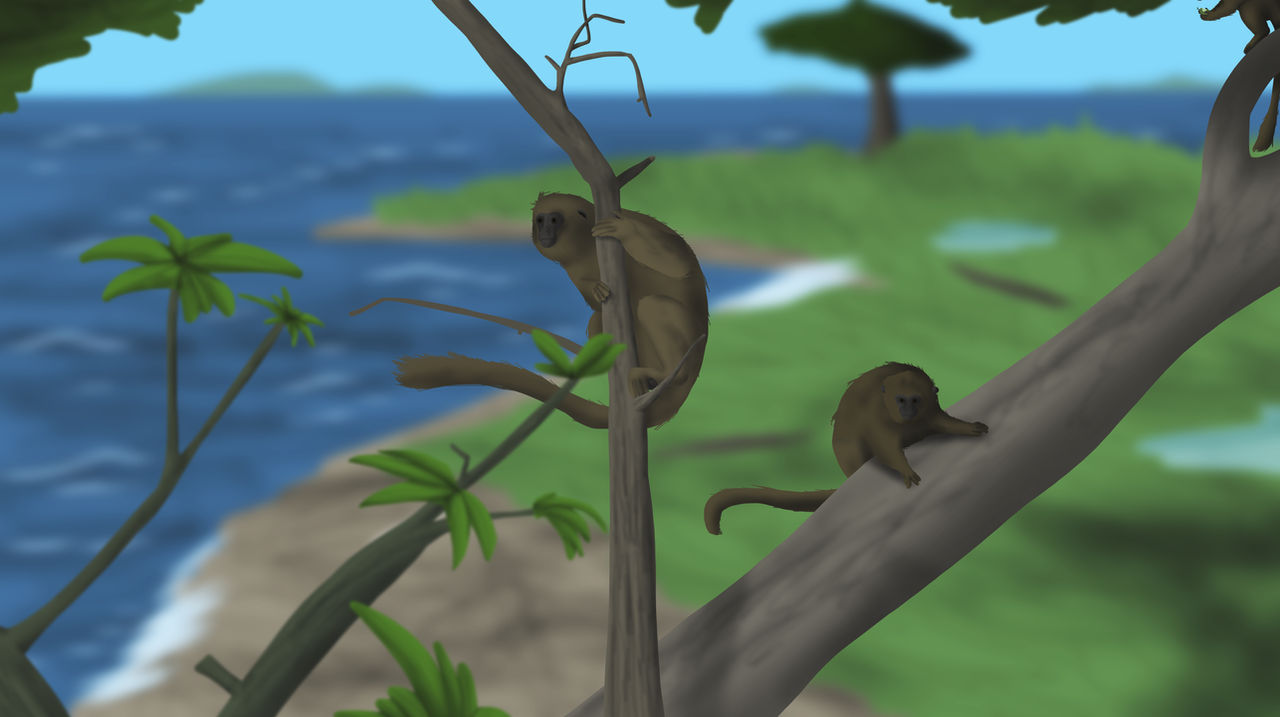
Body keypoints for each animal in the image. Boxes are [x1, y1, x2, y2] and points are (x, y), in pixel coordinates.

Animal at [394, 192, 709, 429]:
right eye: (540, 219)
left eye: (554, 219)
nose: (544, 231)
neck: (588, 247)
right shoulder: (574, 269)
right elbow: (596, 303)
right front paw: (597, 290)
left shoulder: (641, 224)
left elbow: (678, 265)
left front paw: (625, 232)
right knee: (599, 320)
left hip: (690, 345)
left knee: (654, 305)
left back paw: (669, 373)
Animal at [703, 362, 988, 535]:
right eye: (901, 400)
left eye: (914, 400)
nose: (907, 410)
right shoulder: (877, 415)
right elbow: (884, 445)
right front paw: (903, 468)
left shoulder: (929, 411)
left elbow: (944, 422)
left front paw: (970, 428)